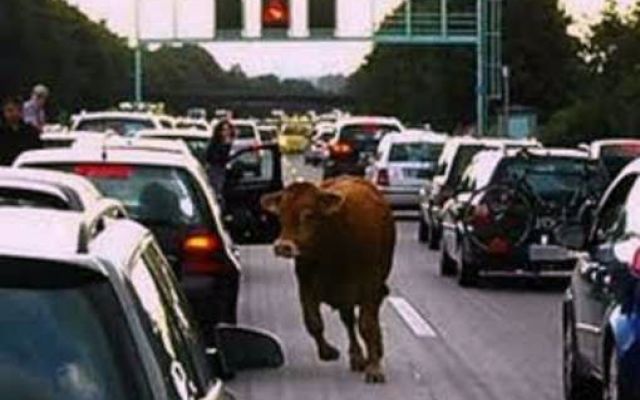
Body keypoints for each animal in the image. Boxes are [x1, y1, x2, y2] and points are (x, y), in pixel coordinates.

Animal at [262, 177, 396, 382]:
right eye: (281, 214)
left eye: (308, 215)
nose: (283, 247)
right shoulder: (306, 286)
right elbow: (313, 322)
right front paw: (328, 352)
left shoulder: (370, 287)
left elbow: (367, 325)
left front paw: (374, 368)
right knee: (348, 321)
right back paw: (357, 356)